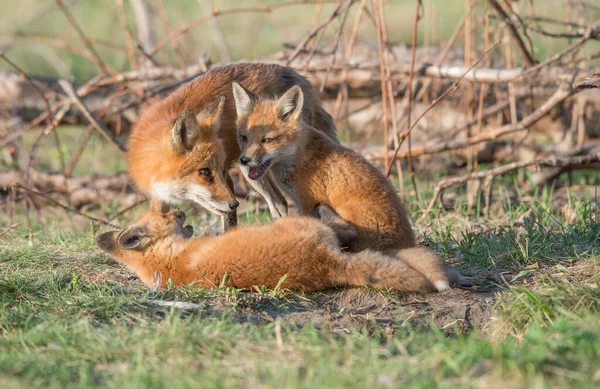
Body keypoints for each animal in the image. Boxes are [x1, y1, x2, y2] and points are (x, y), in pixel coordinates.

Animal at [127, 62, 338, 229]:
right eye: (204, 172)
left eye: (220, 169)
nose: (235, 204)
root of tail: (300, 77)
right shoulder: (158, 195)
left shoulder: (228, 180)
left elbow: (229, 227)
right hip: (252, 171)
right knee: (280, 204)